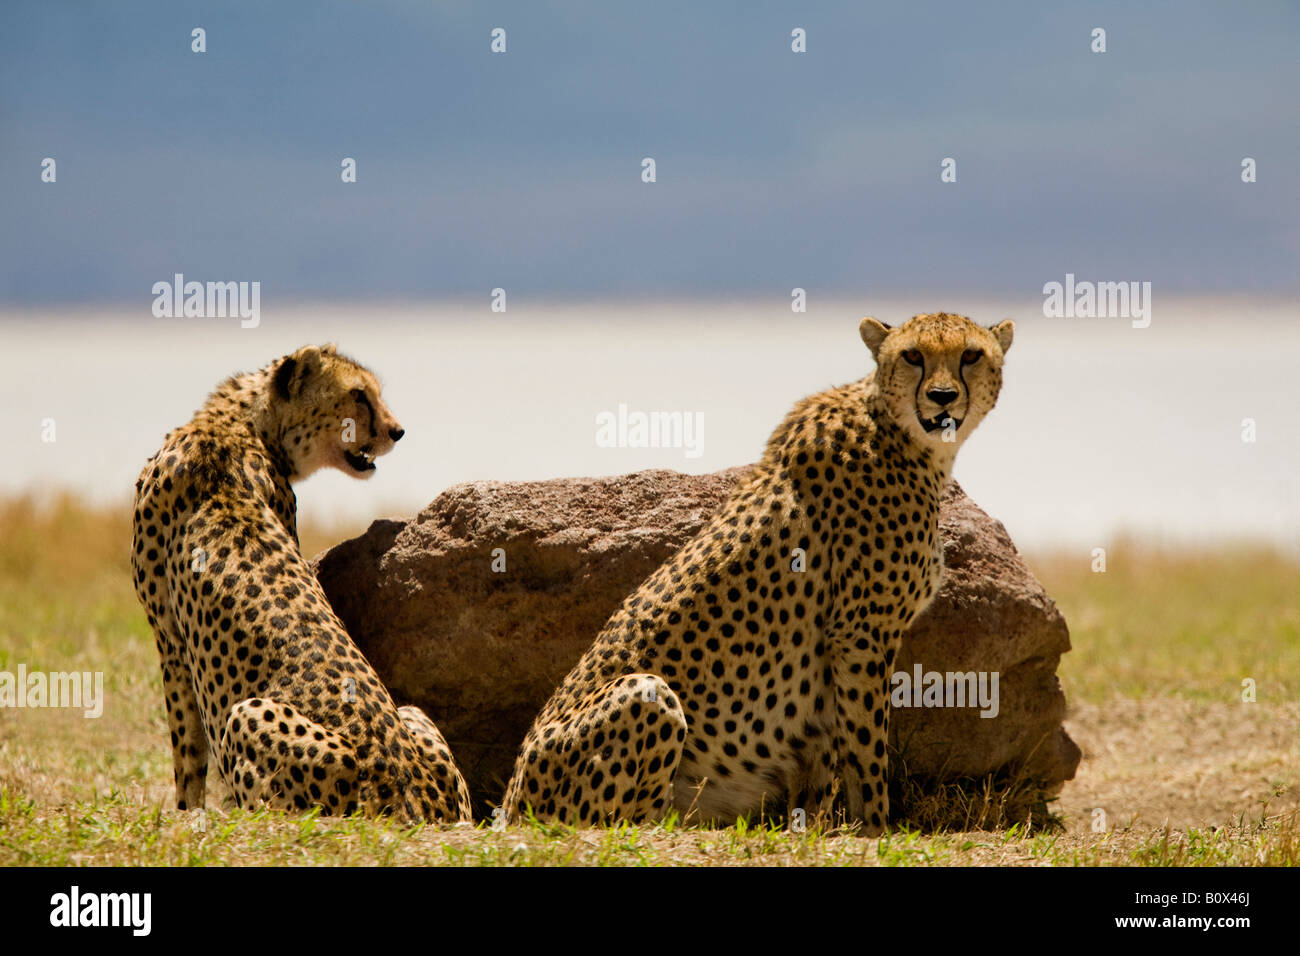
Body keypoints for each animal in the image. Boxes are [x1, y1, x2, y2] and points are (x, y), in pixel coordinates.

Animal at [130, 343, 473, 822]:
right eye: (358, 395)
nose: (398, 431)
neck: (240, 424)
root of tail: (413, 798)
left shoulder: (169, 641)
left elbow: (187, 756)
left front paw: (185, 812)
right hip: (414, 718)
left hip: (247, 714)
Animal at [501, 312, 1008, 832]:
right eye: (912, 356)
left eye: (971, 355)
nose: (943, 396)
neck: (898, 431)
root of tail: (510, 804)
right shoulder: (862, 631)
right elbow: (867, 749)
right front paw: (875, 827)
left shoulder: (832, 659)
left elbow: (823, 764)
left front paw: (814, 829)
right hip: (646, 692)